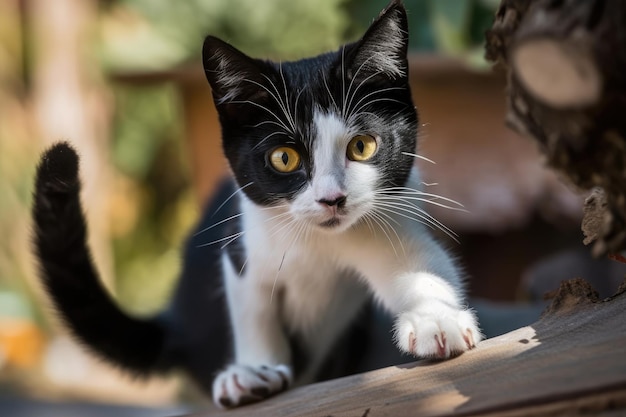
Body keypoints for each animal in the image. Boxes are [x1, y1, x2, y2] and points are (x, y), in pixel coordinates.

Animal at [31, 0, 480, 408]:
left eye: (362, 146)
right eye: (284, 158)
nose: (332, 199)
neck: (319, 245)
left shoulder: (393, 214)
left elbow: (423, 267)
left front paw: (436, 317)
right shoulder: (243, 241)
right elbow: (254, 309)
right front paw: (252, 372)